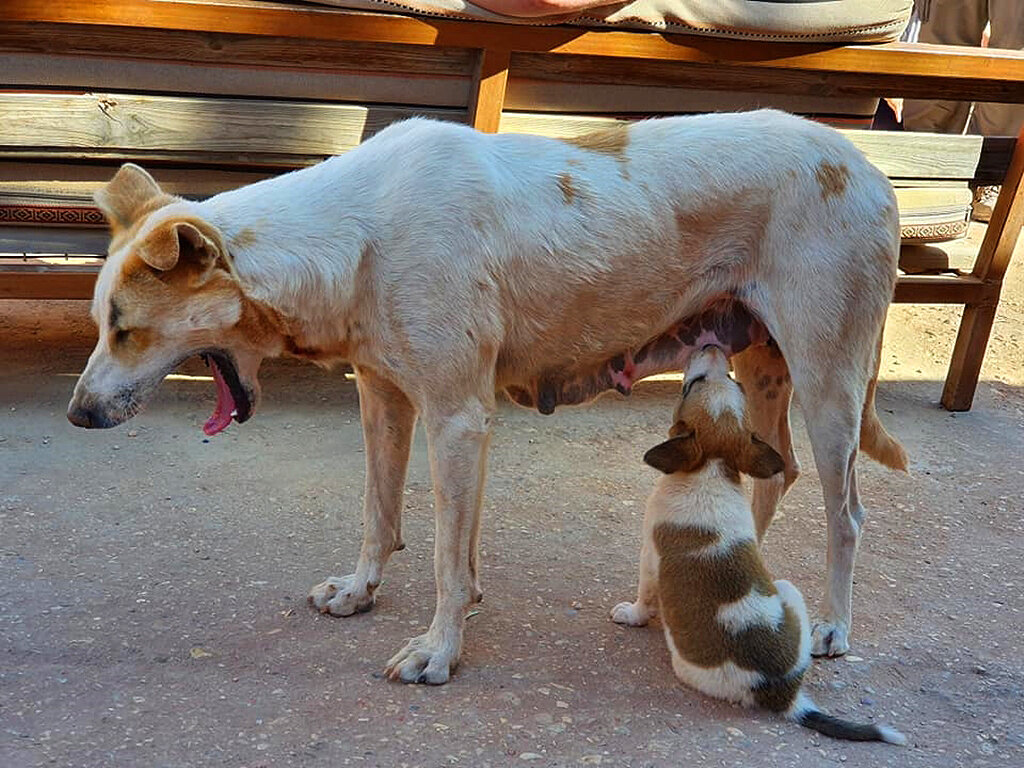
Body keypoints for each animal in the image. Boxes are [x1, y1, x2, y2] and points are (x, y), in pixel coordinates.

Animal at [606, 348, 905, 745]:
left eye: (692, 384)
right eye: (736, 383)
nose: (714, 347)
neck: (711, 468)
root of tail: (783, 694)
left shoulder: (649, 555)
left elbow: (645, 596)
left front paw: (631, 614)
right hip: (786, 592)